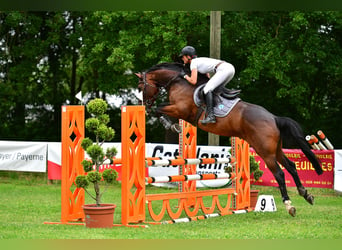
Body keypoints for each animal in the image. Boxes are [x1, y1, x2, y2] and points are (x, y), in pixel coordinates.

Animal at [135, 61, 322, 216]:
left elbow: (160, 109)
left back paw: (289, 205)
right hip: (275, 150)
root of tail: (274, 118)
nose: (143, 106)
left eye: (140, 86)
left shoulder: (180, 109)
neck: (179, 82)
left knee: (280, 174)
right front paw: (172, 125)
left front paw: (169, 124)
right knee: (291, 166)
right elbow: (161, 109)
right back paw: (306, 194)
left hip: (265, 151)